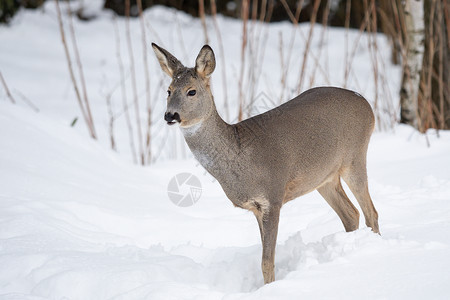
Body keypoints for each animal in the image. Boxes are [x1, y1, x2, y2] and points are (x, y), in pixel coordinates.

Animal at [152, 43, 380, 284]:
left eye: (192, 91)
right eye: (168, 90)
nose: (170, 115)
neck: (240, 156)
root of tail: (367, 104)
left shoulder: (273, 196)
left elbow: (267, 262)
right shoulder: (257, 207)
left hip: (355, 156)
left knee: (371, 213)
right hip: (324, 178)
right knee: (351, 214)